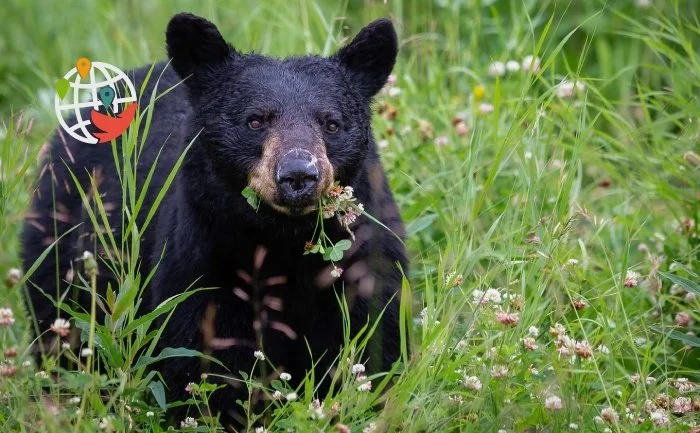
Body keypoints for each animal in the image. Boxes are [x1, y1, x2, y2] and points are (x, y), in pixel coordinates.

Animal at [21, 12, 408, 426]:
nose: (298, 175)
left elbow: (374, 339)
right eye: (255, 121)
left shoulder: (364, 257)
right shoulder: (202, 258)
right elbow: (203, 355)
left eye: (331, 123)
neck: (283, 241)